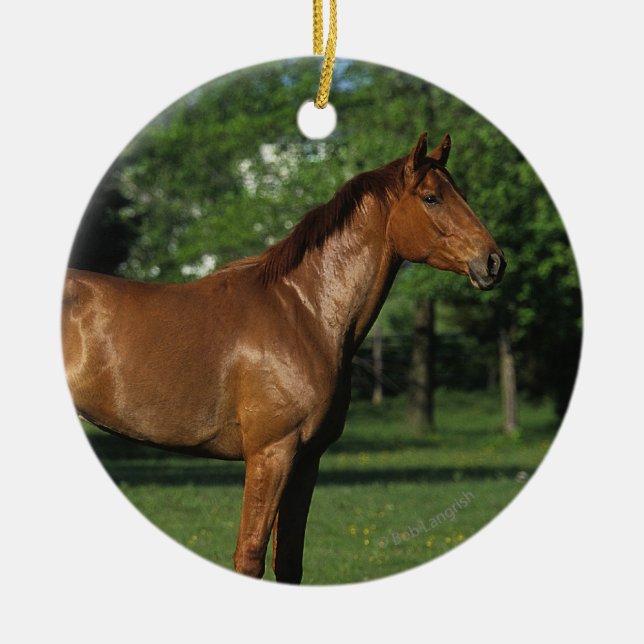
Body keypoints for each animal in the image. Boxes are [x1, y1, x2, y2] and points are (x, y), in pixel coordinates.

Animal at [62, 132, 506, 583]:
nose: (493, 261)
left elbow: (289, 562)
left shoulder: (306, 460)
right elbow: (250, 556)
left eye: (462, 194)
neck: (303, 313)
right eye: (432, 198)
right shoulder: (272, 453)